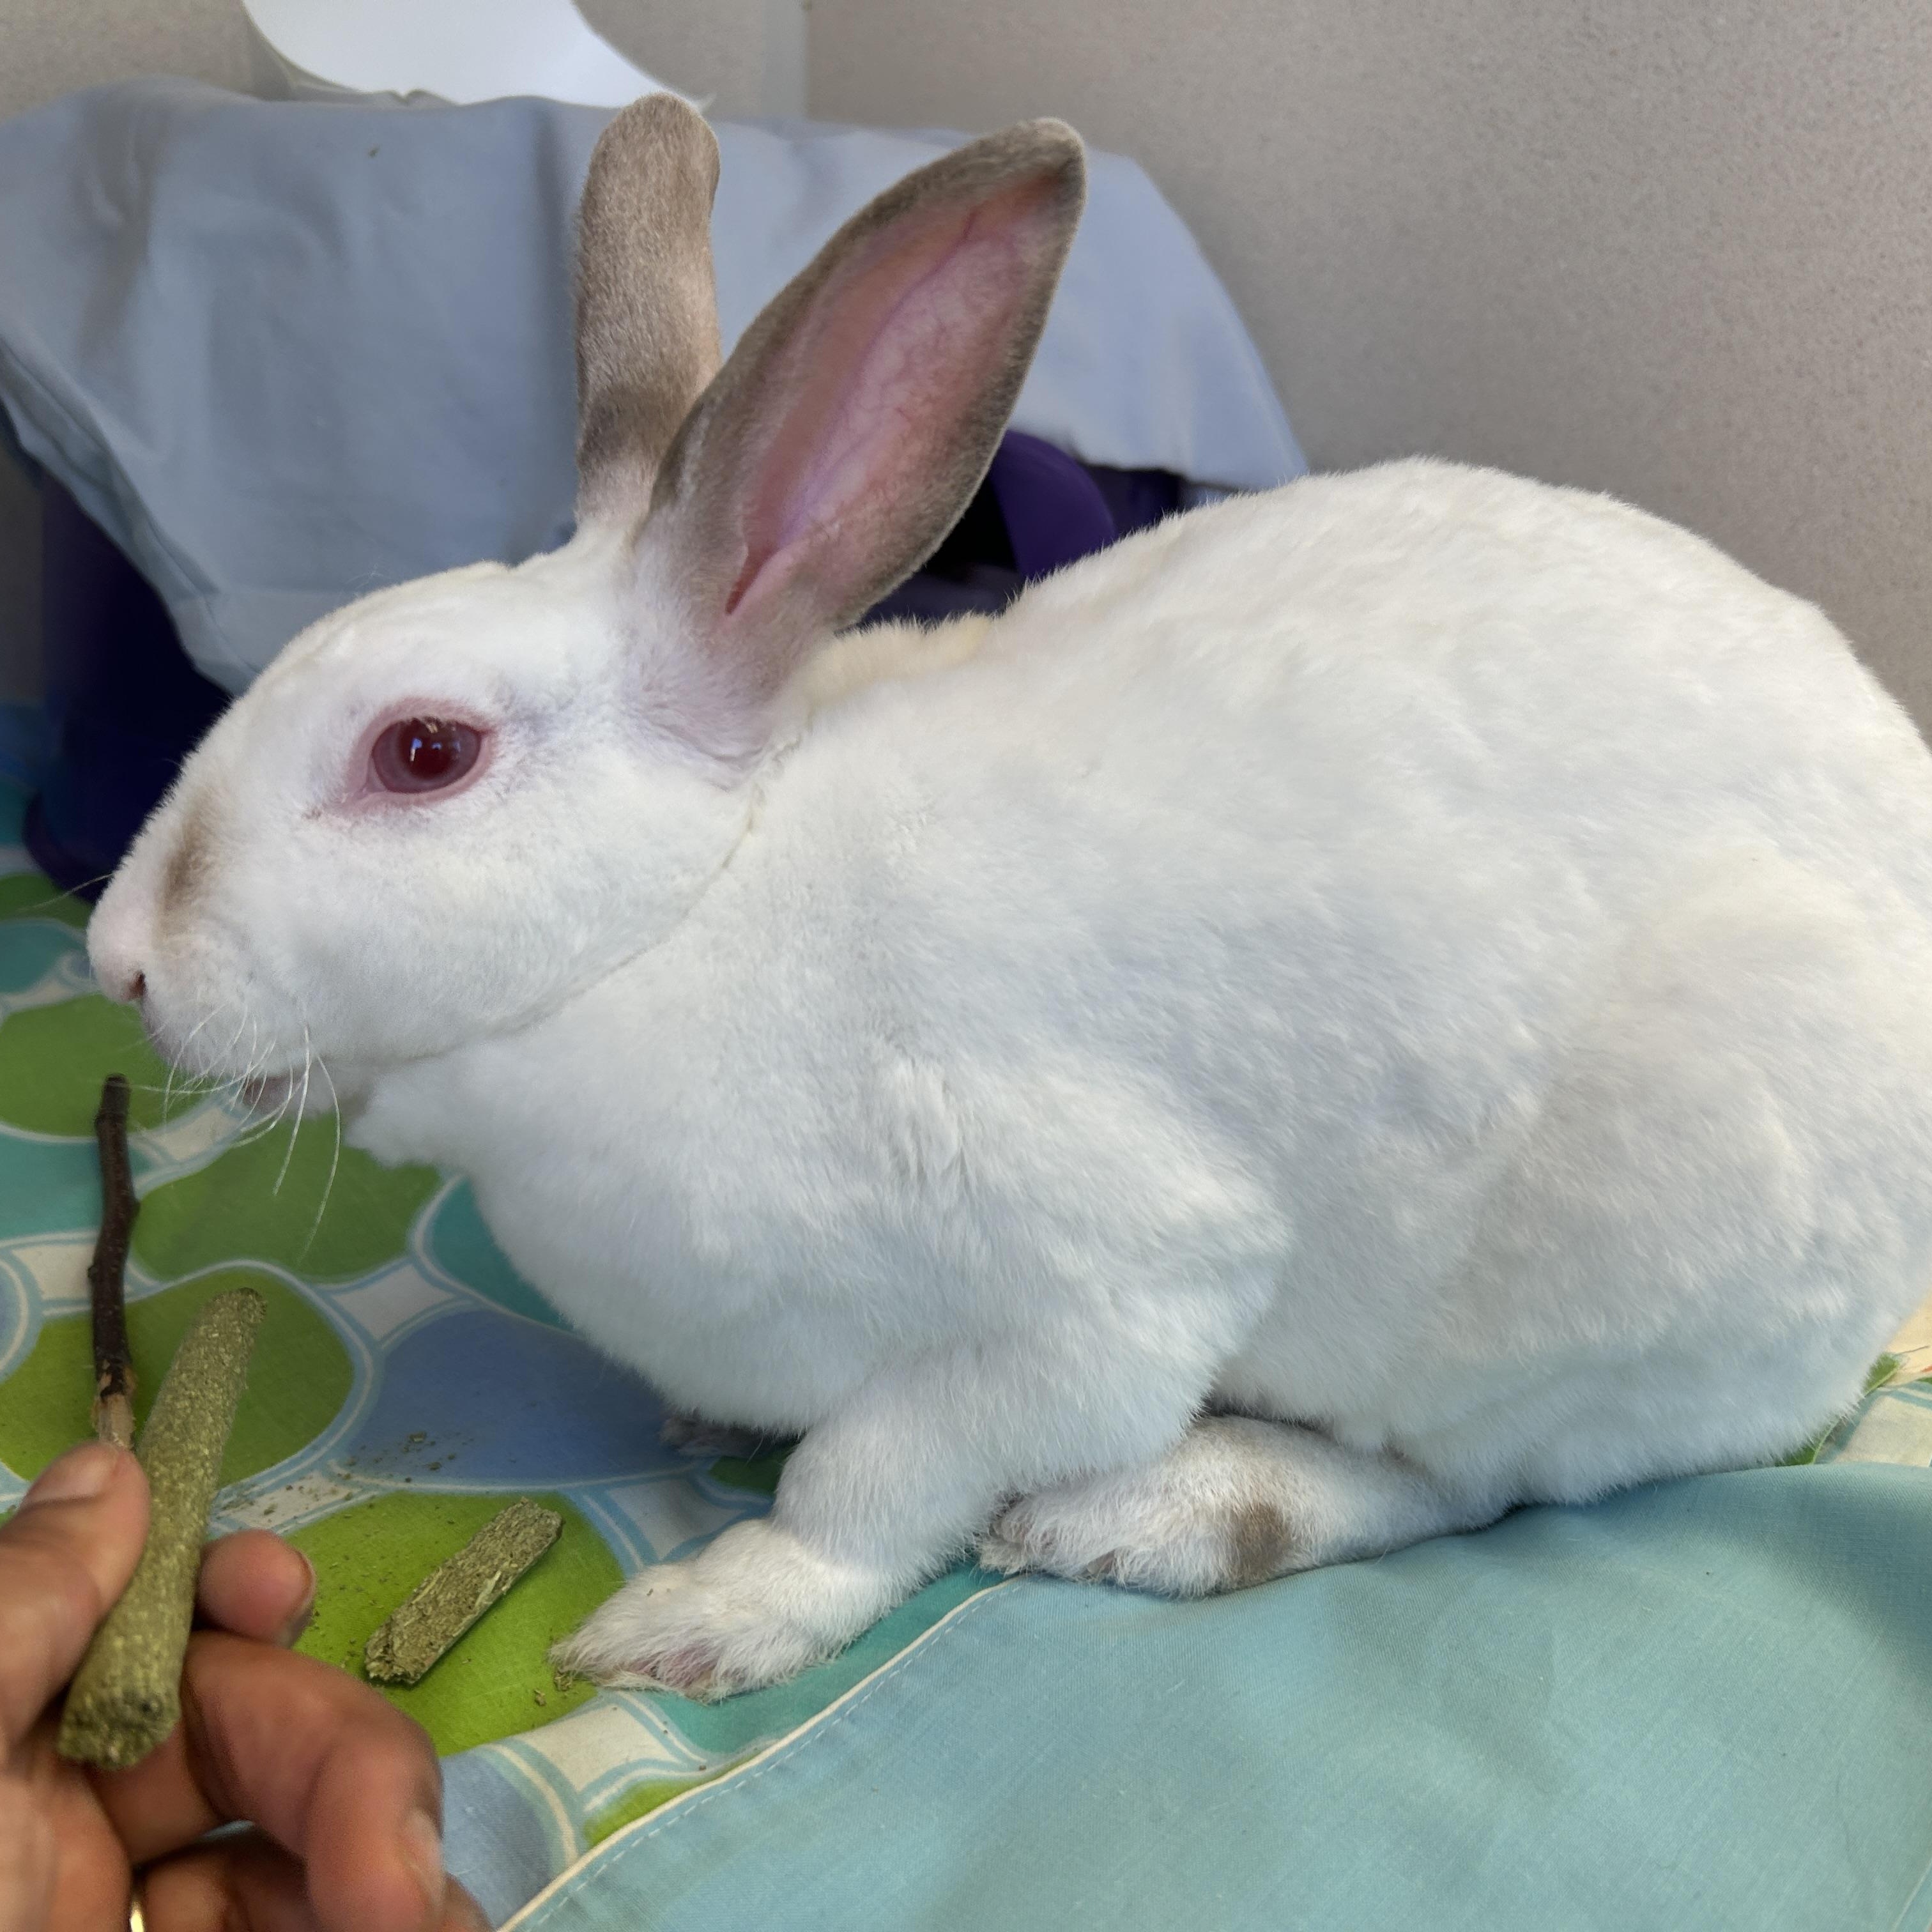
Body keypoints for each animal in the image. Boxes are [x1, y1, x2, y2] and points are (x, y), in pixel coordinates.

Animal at [88, 91, 1932, 1702]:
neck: (689, 916)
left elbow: (873, 1479)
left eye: (423, 753)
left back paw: (1163, 1518)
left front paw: (706, 1621)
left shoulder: (1092, 1298)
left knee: (1480, 1483)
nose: (117, 961)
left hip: (1575, 1283)